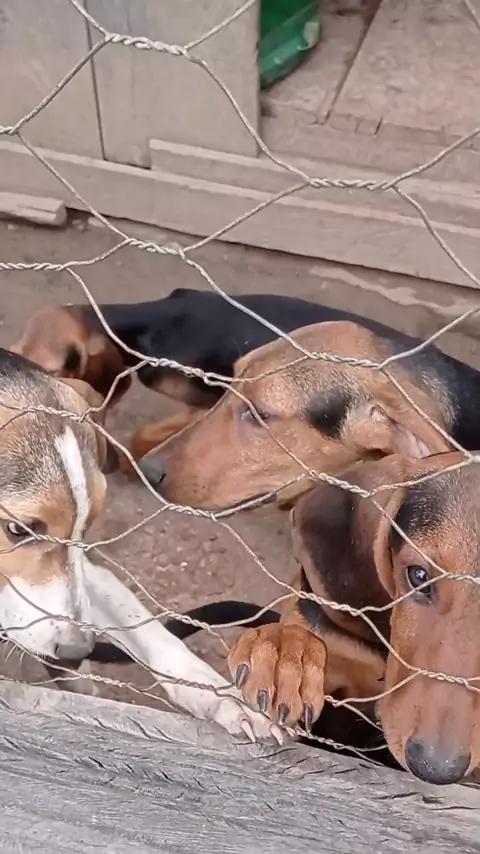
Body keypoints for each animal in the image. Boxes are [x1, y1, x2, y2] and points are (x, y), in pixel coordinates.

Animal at [0, 346, 282, 742]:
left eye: (87, 527)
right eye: (16, 529)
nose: (75, 652)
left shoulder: (87, 570)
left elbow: (151, 634)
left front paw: (220, 698)